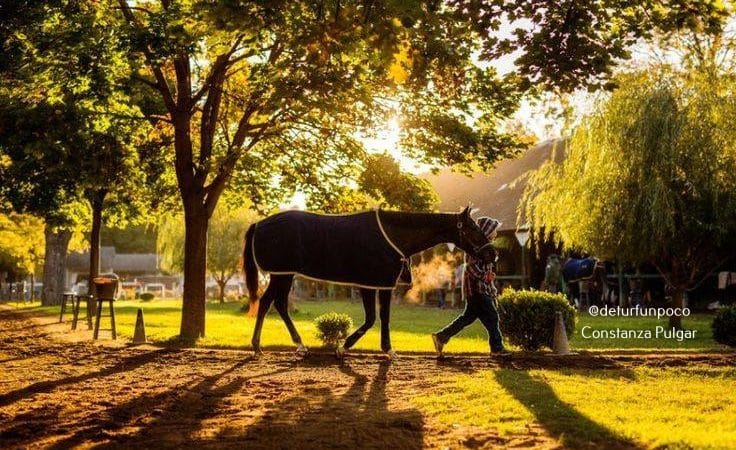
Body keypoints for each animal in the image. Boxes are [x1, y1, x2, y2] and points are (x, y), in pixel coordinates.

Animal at [243, 206, 497, 359]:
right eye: (474, 228)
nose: (492, 254)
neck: (393, 235)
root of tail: (259, 224)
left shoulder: (377, 285)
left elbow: (379, 317)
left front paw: (381, 349)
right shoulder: (374, 284)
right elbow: (375, 317)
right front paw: (346, 347)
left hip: (283, 274)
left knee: (274, 304)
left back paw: (283, 345)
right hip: (281, 274)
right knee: (270, 303)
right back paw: (269, 346)